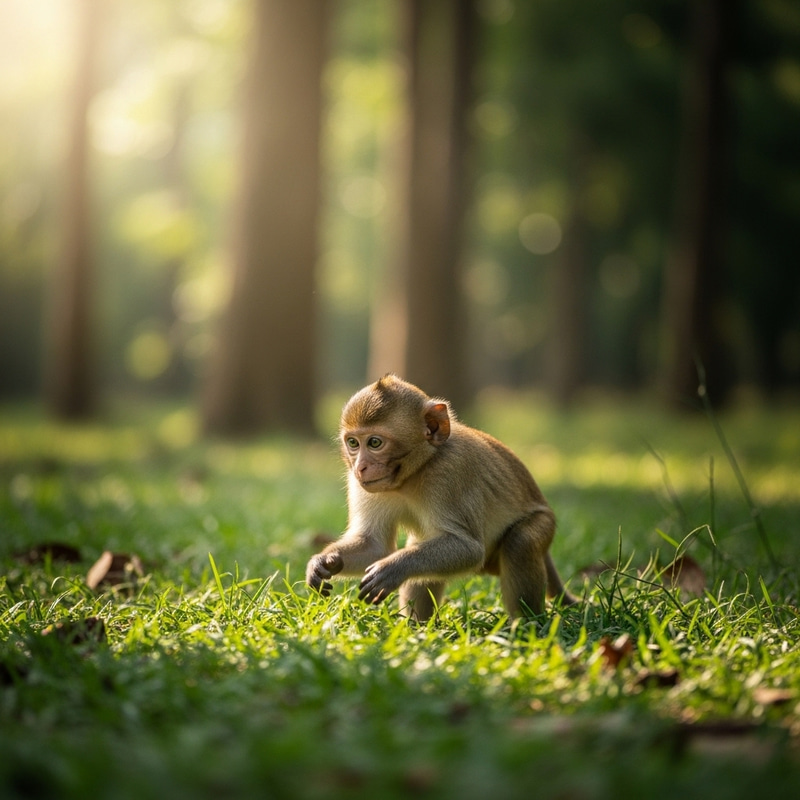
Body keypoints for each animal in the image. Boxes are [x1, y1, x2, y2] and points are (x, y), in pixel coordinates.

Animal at [306, 375, 578, 622]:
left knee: (521, 542)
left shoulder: (450, 472)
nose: (360, 467)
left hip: (544, 523)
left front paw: (393, 568)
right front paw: (323, 561)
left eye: (374, 443)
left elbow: (469, 549)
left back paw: (525, 627)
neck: (415, 473)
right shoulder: (361, 486)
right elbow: (375, 545)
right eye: (353, 443)